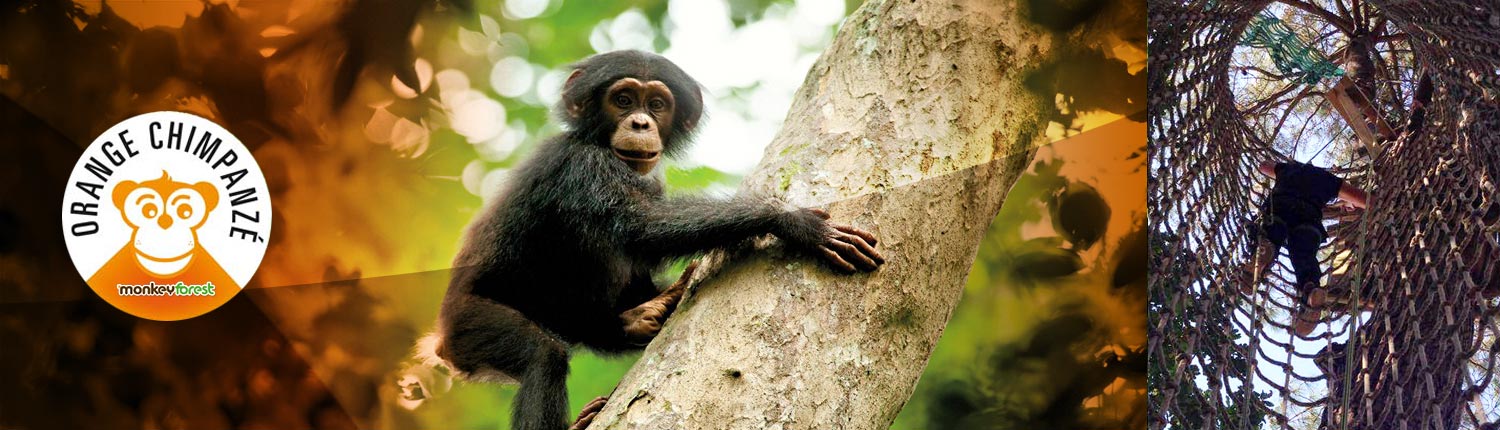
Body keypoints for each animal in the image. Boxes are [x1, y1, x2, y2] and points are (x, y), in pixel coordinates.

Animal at [414, 50, 884, 430]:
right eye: (623, 99)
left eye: (656, 104)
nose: (640, 121)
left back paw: (638, 316)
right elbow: (640, 225)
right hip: (468, 325)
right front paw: (790, 219)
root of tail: (439, 343)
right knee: (541, 355)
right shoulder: (581, 166)